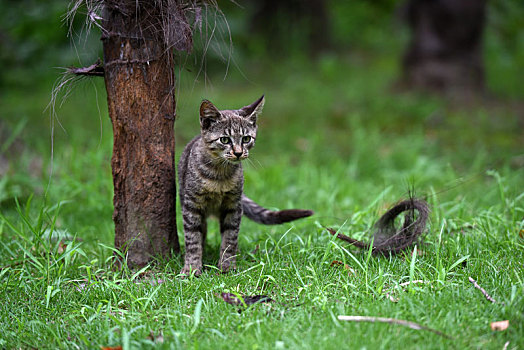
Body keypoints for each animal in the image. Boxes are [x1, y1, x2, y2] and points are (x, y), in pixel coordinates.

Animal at [178, 95, 314, 276]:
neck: (219, 176)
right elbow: (192, 238)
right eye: (225, 139)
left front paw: (227, 266)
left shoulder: (233, 205)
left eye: (246, 139)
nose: (238, 152)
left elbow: (230, 237)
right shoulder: (191, 206)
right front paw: (192, 268)